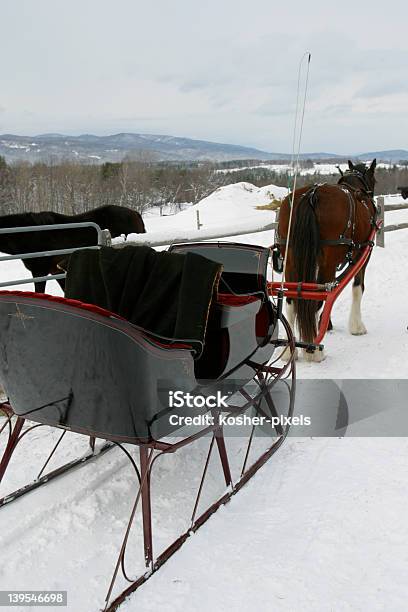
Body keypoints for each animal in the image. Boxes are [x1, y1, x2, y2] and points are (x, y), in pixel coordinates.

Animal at [276, 158, 378, 360]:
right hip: (328, 261)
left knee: (292, 299)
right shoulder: (364, 253)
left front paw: (328, 323)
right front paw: (356, 327)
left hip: (290, 258)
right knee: (318, 297)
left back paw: (290, 349)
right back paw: (314, 350)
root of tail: (311, 195)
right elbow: (357, 288)